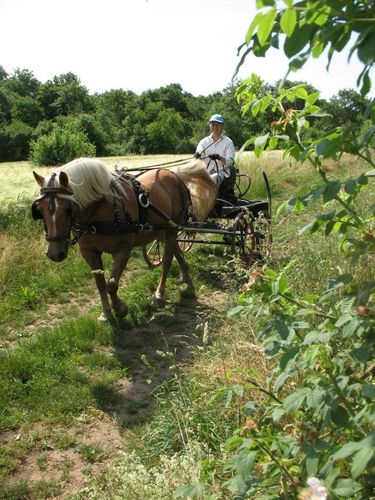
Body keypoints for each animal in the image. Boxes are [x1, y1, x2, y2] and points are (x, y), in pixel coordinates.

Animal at [32, 156, 217, 320]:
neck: (101, 208)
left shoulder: (122, 250)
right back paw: (185, 272)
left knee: (167, 261)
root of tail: (173, 173)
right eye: (39, 210)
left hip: (172, 229)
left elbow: (111, 285)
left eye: (67, 208)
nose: (54, 253)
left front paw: (120, 309)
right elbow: (100, 283)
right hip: (163, 230)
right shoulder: (89, 252)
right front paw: (106, 312)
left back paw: (159, 294)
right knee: (174, 249)